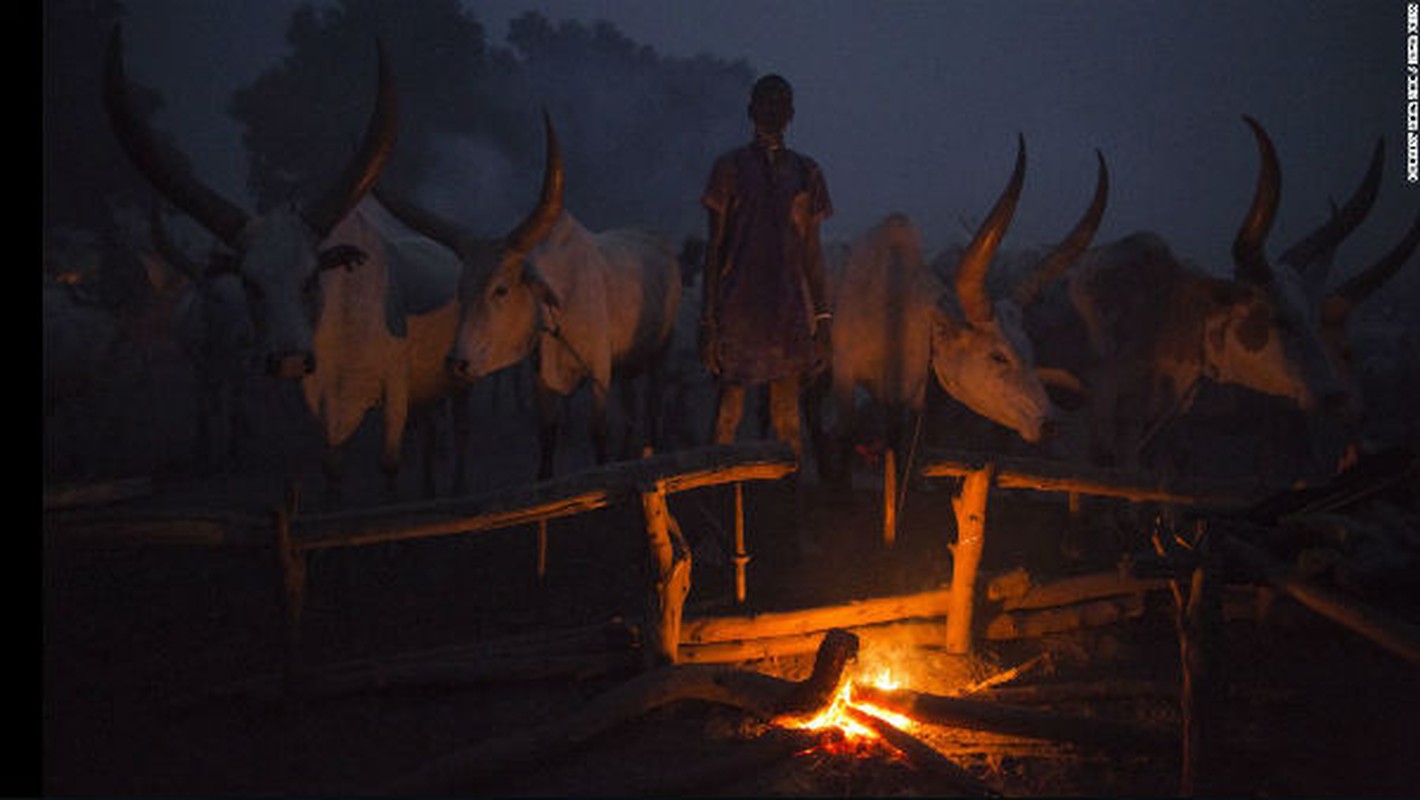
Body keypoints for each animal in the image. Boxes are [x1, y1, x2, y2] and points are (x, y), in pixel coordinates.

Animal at [374, 117, 684, 483]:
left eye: (502, 289)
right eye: (461, 289)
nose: (456, 363)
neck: (559, 311)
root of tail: (660, 240)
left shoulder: (599, 368)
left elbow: (598, 433)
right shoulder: (542, 375)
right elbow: (547, 432)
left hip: (660, 353)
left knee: (653, 405)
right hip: (628, 362)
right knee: (632, 408)